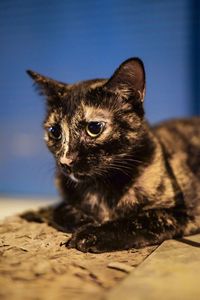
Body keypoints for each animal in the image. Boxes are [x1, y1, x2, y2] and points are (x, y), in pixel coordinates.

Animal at [26, 57, 200, 252]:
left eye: (94, 128)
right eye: (55, 131)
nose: (65, 161)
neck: (100, 187)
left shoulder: (184, 211)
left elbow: (142, 219)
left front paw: (91, 234)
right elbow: (58, 210)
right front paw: (83, 219)